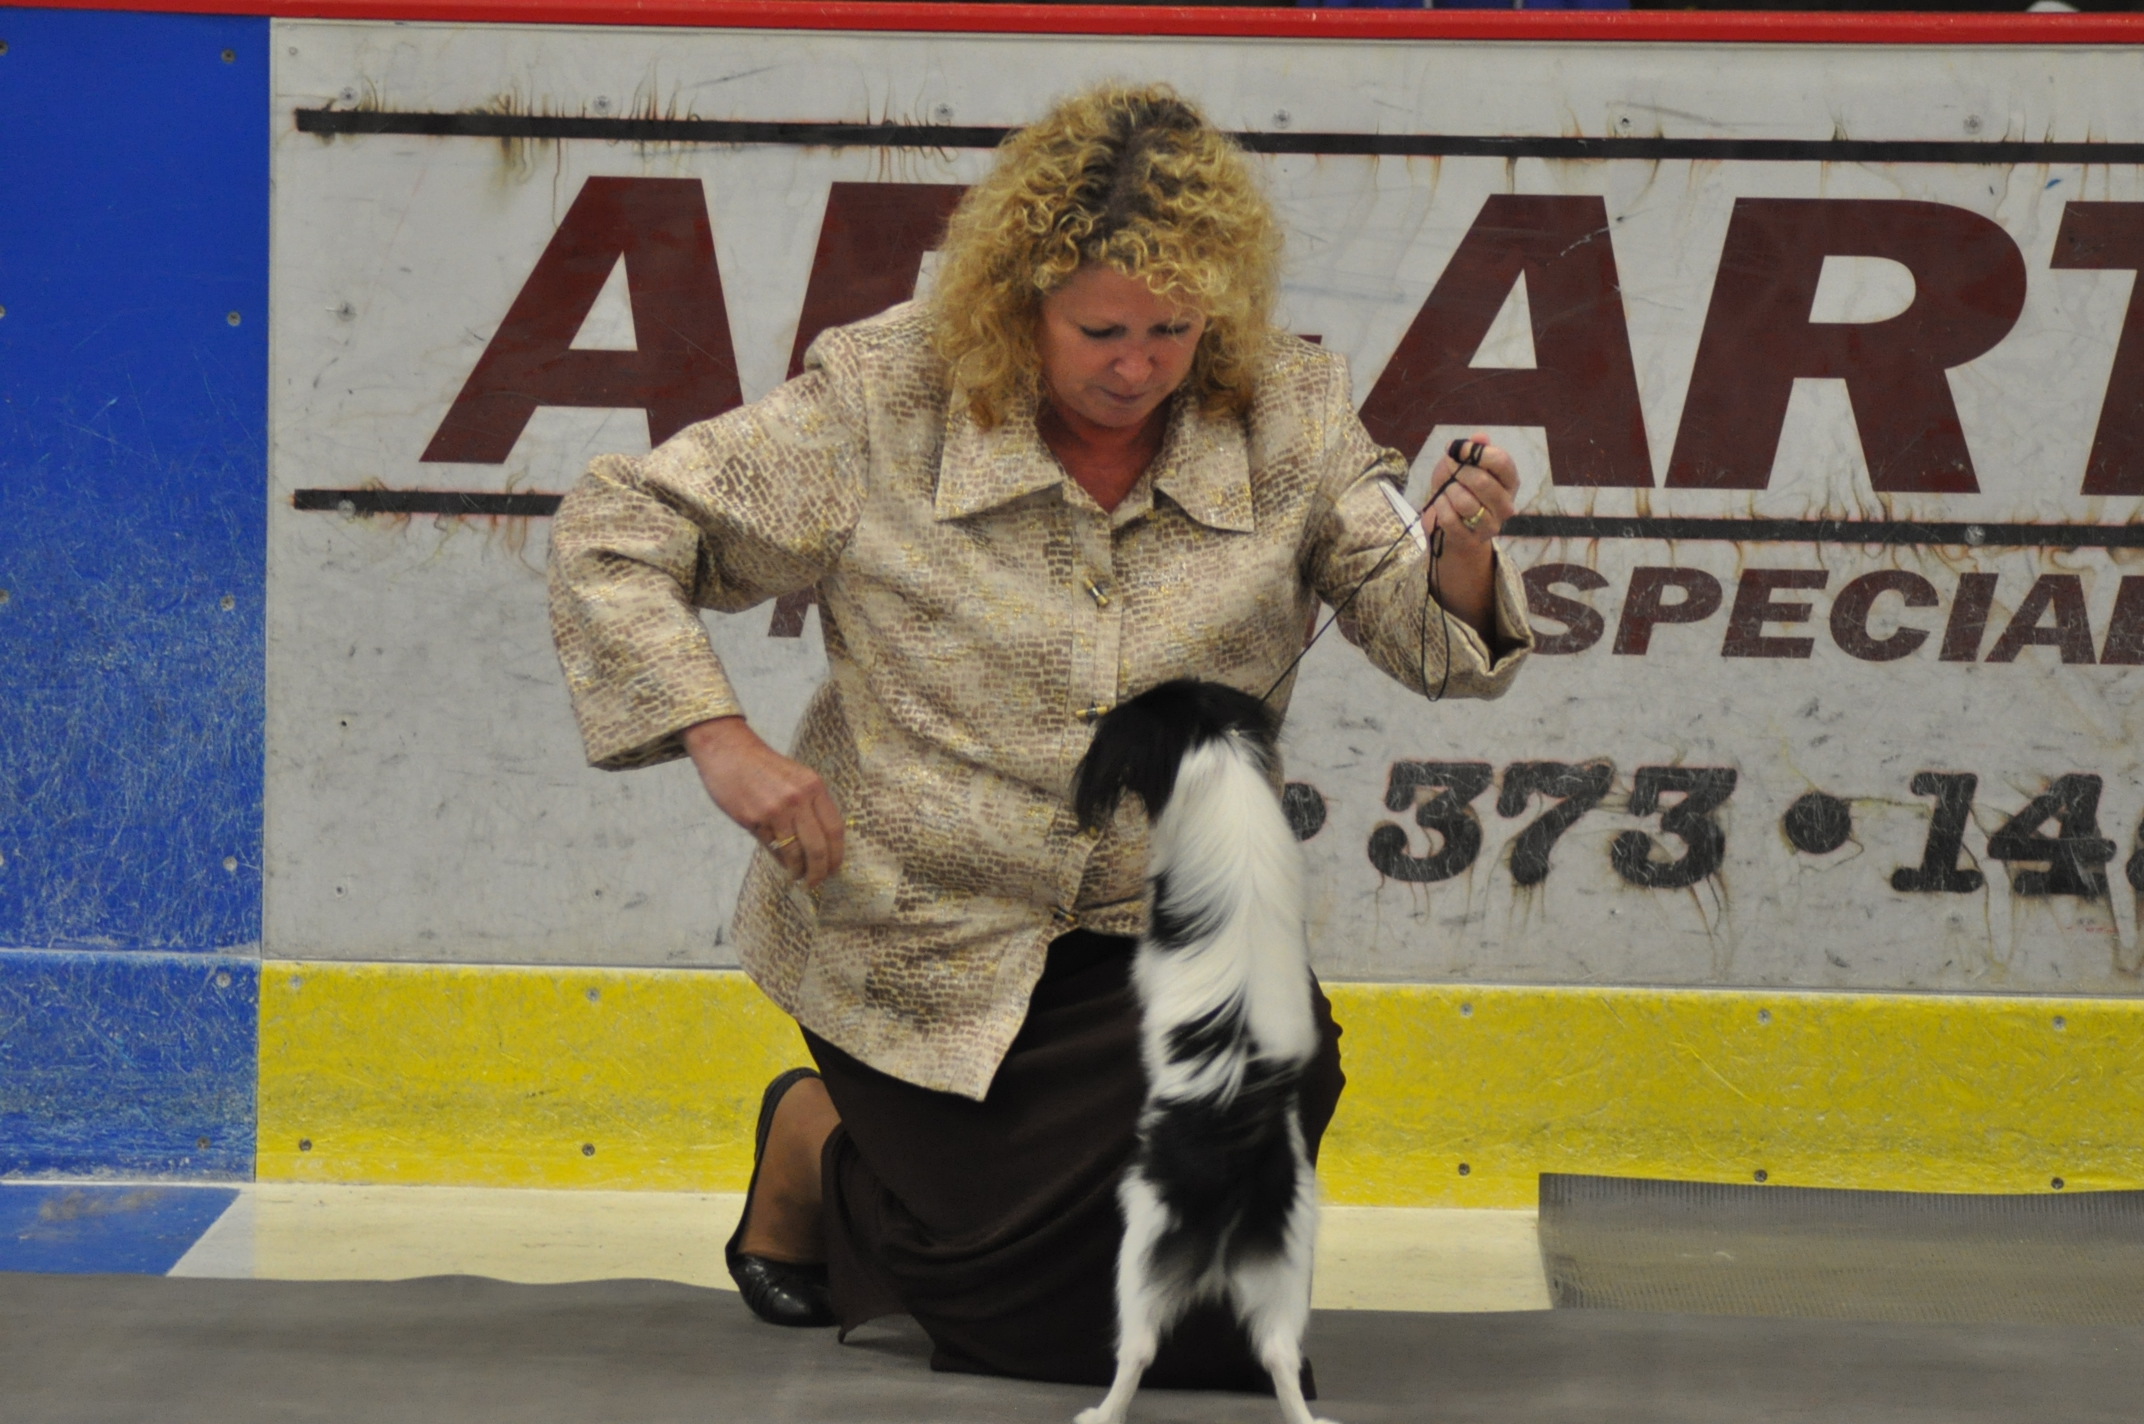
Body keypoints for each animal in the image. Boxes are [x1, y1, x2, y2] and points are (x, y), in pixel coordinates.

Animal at [1070, 679, 1334, 1424]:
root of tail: (1235, 1166)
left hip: (1140, 1249)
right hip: (1286, 1263)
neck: (1219, 761)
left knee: (1136, 1352)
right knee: (1279, 1356)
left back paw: (1100, 1414)